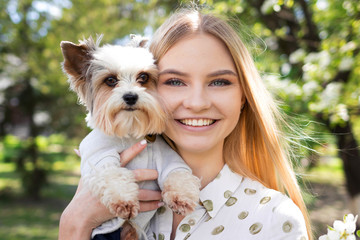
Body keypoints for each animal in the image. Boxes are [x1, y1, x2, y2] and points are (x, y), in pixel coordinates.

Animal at [59, 34, 200, 239]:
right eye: (110, 80)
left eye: (143, 77)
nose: (131, 96)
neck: (130, 131)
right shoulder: (98, 157)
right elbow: (113, 173)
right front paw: (124, 200)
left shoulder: (166, 157)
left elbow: (176, 172)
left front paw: (181, 196)